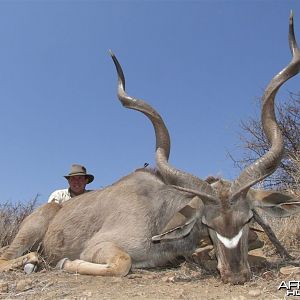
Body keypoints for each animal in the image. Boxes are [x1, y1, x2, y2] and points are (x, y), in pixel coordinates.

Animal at [0, 14, 300, 284]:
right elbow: (122, 263)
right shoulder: (101, 246)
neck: (159, 212)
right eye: (208, 224)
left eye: (248, 220)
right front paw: (65, 262)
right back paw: (33, 260)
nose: (236, 276)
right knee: (9, 255)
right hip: (28, 234)